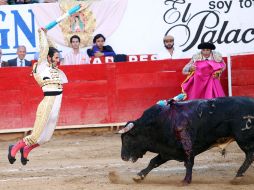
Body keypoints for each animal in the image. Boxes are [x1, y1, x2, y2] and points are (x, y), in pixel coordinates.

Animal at [120, 96, 254, 184]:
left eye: (127, 138)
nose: (123, 157)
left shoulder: (187, 146)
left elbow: (189, 162)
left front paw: (186, 180)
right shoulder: (167, 150)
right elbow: (153, 162)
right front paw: (139, 176)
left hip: (244, 139)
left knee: (249, 156)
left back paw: (238, 176)